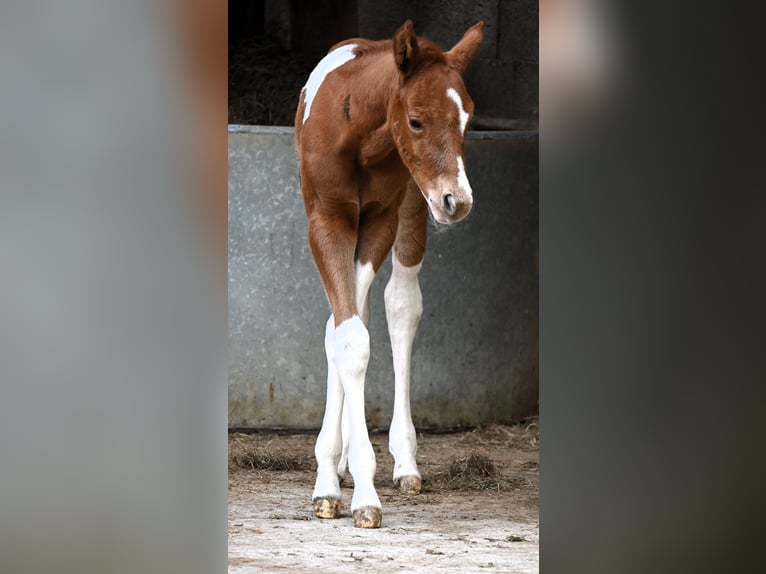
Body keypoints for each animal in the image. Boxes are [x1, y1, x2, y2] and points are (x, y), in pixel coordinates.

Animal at [296, 19, 484, 532]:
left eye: (467, 119)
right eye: (416, 121)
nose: (458, 201)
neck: (358, 135)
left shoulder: (380, 219)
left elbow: (355, 334)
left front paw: (361, 491)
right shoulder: (327, 220)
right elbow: (344, 334)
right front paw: (329, 481)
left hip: (414, 204)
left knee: (401, 306)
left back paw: (405, 461)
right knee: (349, 319)